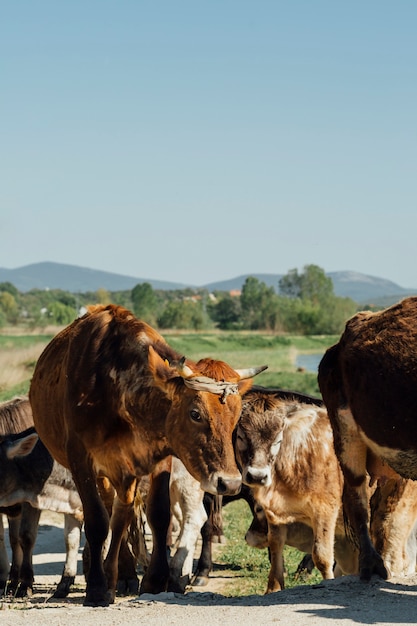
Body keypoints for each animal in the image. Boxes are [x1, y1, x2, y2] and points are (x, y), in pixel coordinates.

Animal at [29, 304, 264, 604]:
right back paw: (112, 575)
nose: (230, 483)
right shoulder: (80, 459)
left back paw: (124, 575)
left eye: (236, 417)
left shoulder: (160, 458)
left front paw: (155, 579)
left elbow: (158, 515)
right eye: (195, 413)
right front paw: (97, 587)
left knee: (122, 514)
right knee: (112, 513)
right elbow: (97, 520)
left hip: (125, 471)